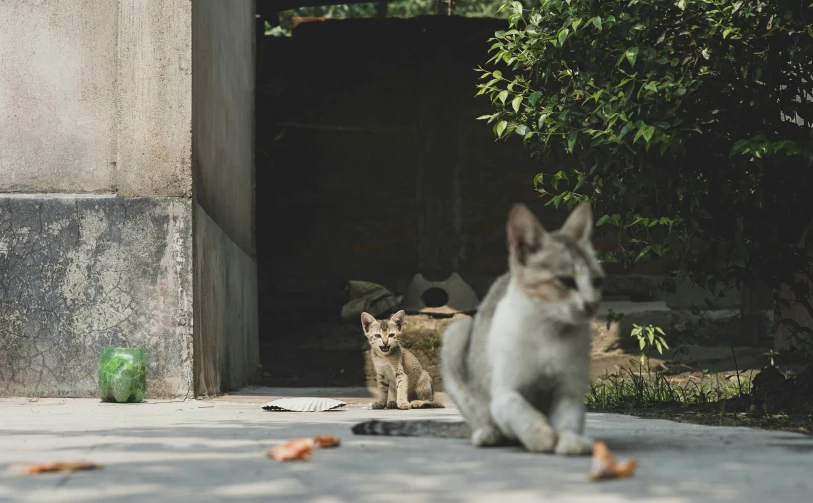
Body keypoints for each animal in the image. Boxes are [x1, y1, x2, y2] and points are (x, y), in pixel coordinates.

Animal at [350, 202, 604, 456]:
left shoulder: (568, 389)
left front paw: (568, 440)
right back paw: (488, 433)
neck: (548, 331)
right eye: (377, 336)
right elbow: (516, 408)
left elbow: (567, 416)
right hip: (459, 335)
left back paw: (416, 403)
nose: (592, 305)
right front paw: (382, 402)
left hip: (437, 361)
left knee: (432, 400)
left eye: (597, 281)